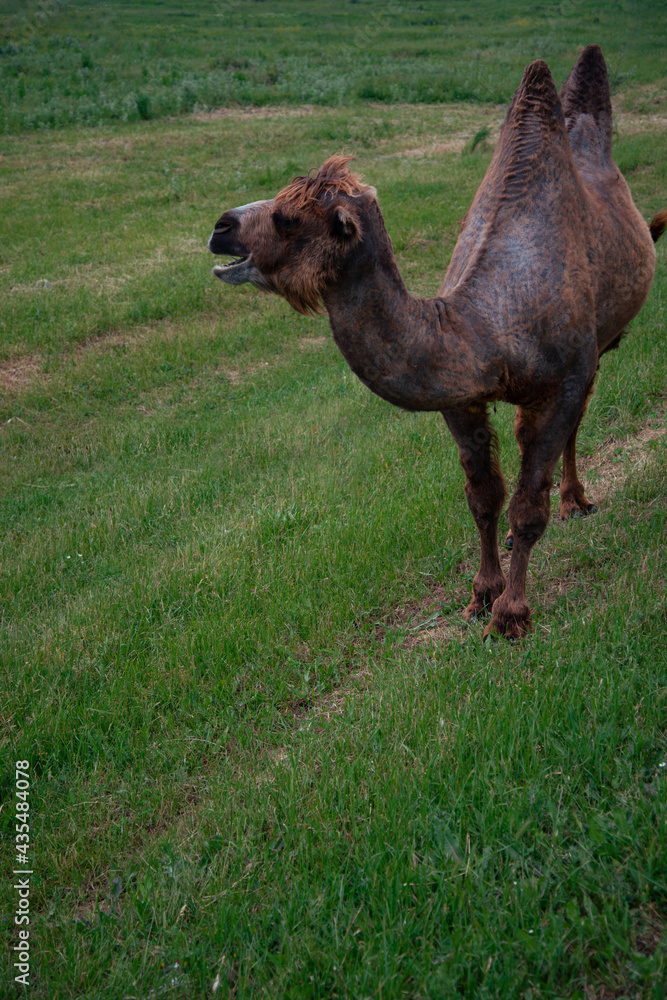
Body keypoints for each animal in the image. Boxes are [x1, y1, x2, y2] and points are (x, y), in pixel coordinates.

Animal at [208, 45, 666, 640]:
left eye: (286, 218)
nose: (220, 227)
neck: (487, 326)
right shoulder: (461, 399)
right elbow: (484, 497)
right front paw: (481, 594)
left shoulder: (562, 378)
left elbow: (527, 505)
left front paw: (511, 616)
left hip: (593, 351)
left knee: (575, 421)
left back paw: (575, 501)